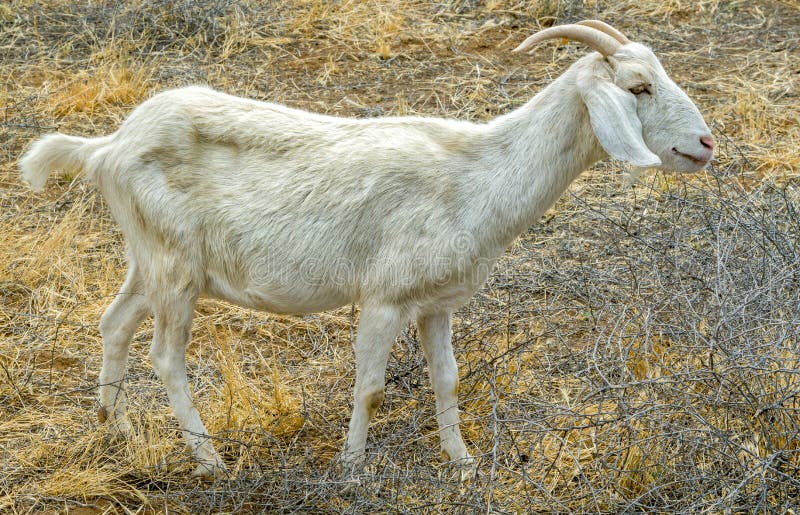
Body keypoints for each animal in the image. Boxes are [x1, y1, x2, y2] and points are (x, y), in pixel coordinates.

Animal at [20, 21, 714, 479]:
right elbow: (373, 386)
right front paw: (353, 467)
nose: (706, 143)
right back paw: (210, 459)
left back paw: (111, 426)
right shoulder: (385, 297)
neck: (478, 171)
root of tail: (108, 146)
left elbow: (446, 378)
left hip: (149, 260)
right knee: (165, 356)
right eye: (639, 88)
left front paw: (461, 461)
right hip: (175, 270)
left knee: (114, 323)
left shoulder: (437, 303)